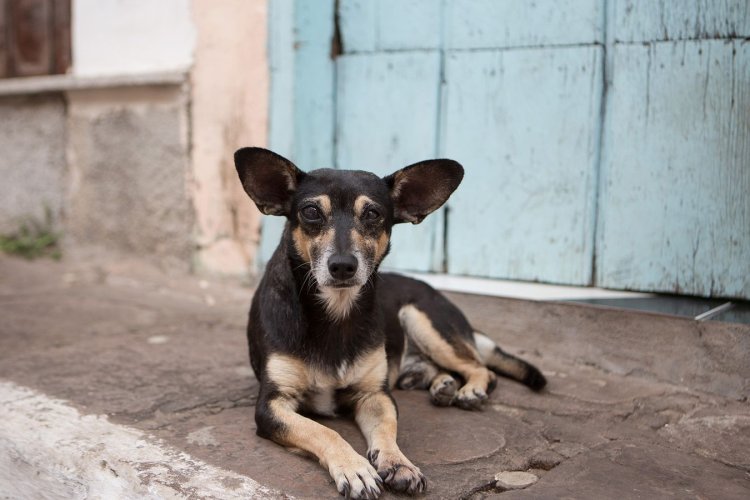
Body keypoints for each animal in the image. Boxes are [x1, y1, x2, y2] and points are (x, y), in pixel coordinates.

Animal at [235, 148, 548, 500]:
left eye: (372, 214)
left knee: (481, 367)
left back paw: (470, 389)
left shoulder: (375, 395)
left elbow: (387, 430)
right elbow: (323, 431)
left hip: (422, 319)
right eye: (311, 212)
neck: (336, 312)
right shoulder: (272, 405)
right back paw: (442, 386)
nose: (342, 265)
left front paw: (399, 464)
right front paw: (355, 468)